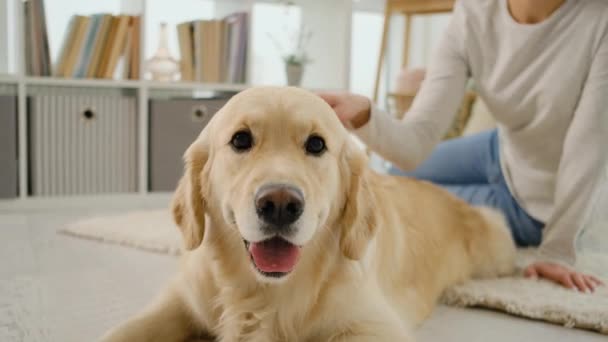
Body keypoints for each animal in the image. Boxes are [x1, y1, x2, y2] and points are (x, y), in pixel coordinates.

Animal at [102, 86, 516, 342]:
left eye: (316, 145)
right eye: (241, 139)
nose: (280, 204)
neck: (263, 291)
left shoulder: (374, 325)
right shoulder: (181, 302)